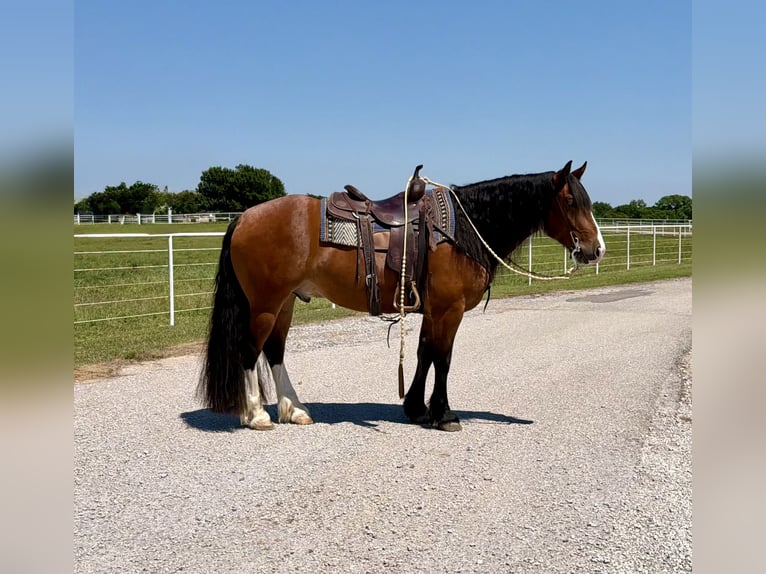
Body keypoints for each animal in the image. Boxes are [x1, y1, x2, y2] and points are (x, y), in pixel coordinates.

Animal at [197, 160, 605, 431]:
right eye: (571, 202)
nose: (596, 249)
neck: (464, 228)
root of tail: (244, 217)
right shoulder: (450, 309)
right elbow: (443, 358)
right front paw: (443, 414)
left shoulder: (432, 309)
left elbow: (424, 354)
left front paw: (416, 408)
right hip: (265, 304)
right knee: (250, 352)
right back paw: (256, 414)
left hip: (284, 304)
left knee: (274, 351)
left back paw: (294, 410)